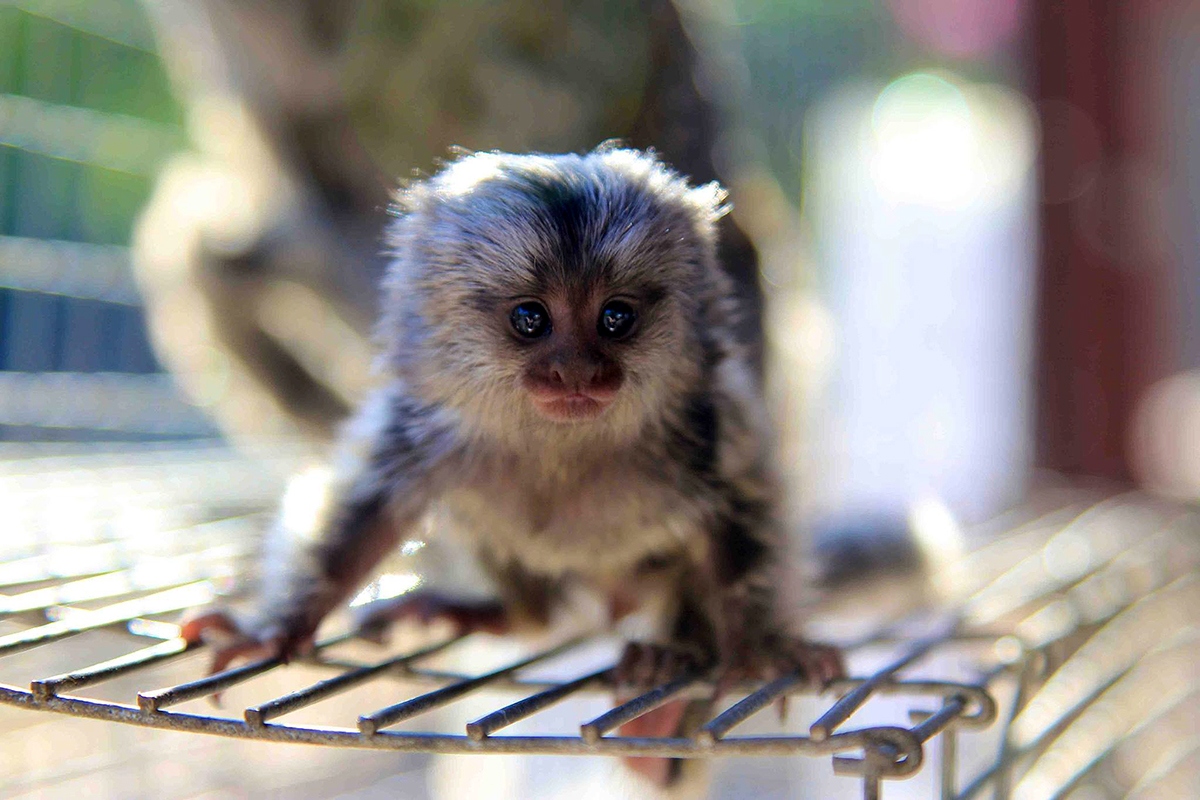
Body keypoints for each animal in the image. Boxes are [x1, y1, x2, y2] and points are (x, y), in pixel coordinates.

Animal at [182, 146, 843, 783]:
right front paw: (275, 631)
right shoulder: (421, 432)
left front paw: (758, 648)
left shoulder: (705, 430)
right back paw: (504, 615)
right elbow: (365, 514)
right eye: (530, 319)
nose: (577, 372)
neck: (561, 448)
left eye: (616, 318)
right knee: (528, 601)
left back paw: (670, 655)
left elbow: (742, 518)